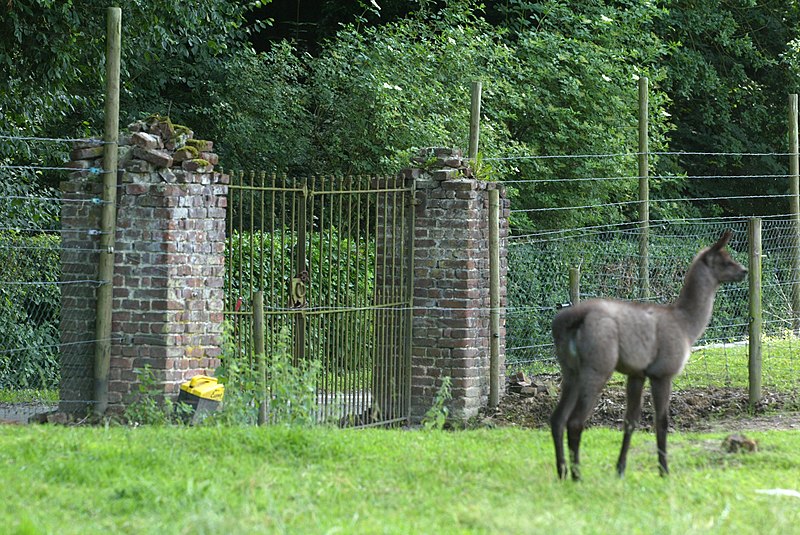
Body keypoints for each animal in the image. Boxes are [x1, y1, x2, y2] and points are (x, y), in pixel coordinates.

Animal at [548, 231, 748, 482]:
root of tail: (566, 321)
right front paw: (664, 470)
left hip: (569, 368)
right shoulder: (662, 371)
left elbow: (630, 421)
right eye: (725, 260)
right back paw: (577, 477)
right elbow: (661, 421)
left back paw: (562, 473)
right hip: (597, 364)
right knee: (575, 421)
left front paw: (620, 469)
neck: (686, 326)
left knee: (557, 418)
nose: (744, 270)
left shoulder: (637, 373)